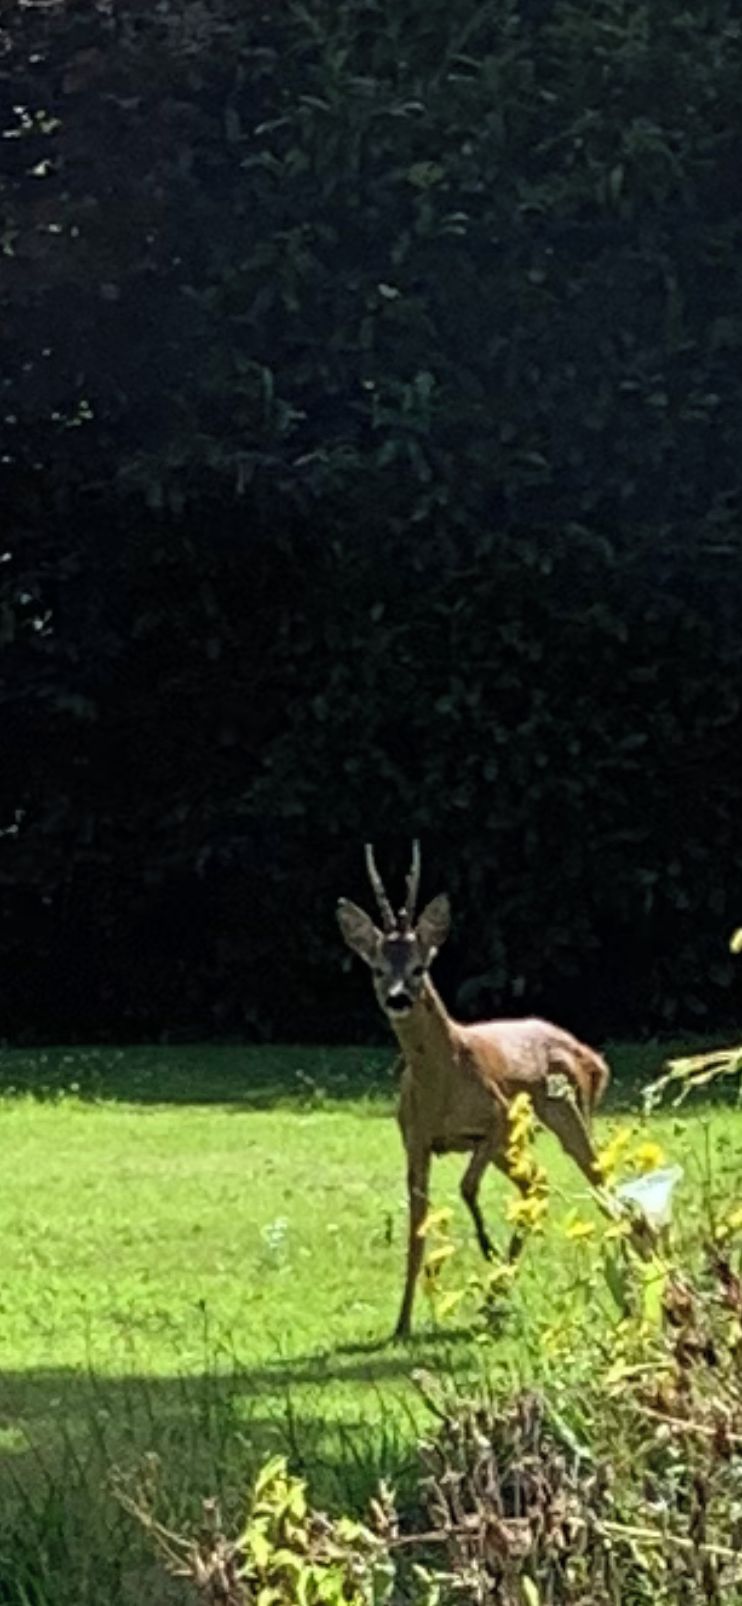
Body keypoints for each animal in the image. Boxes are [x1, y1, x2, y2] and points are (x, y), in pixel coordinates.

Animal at [337, 842, 612, 1340]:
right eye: (378, 968)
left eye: (421, 967)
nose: (398, 997)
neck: (442, 1086)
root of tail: (593, 1057)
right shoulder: (415, 1140)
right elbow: (417, 1228)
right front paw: (401, 1323)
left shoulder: (497, 1116)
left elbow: (466, 1185)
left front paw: (486, 1246)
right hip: (518, 1141)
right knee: (539, 1184)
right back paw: (496, 1297)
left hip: (564, 1111)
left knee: (599, 1181)